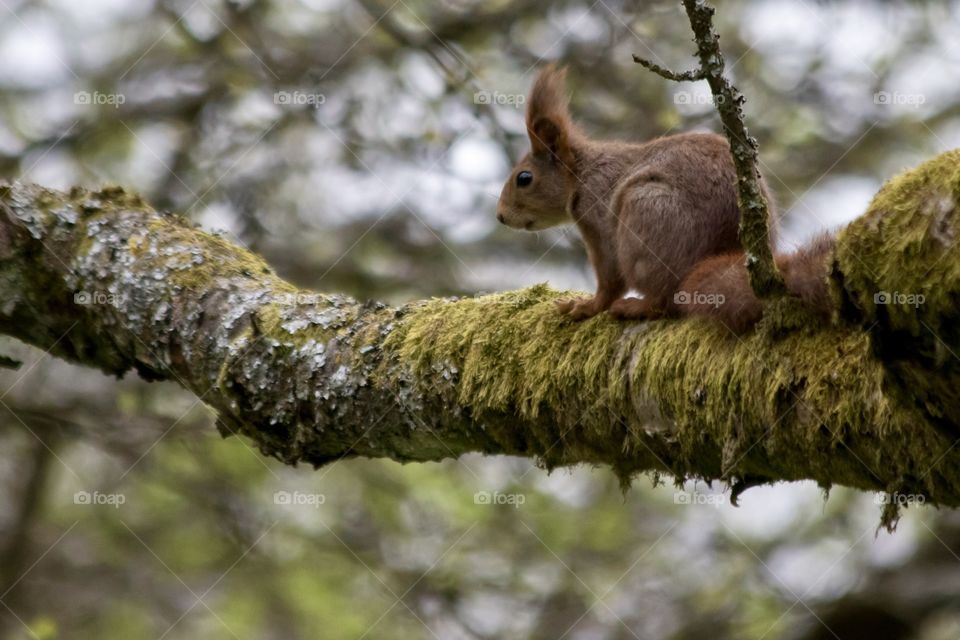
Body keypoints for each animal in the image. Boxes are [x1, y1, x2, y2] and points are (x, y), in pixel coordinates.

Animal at [497, 65, 833, 332]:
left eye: (524, 178)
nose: (500, 216)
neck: (582, 173)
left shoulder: (597, 213)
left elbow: (610, 278)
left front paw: (587, 306)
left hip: (645, 214)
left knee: (666, 301)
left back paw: (638, 306)